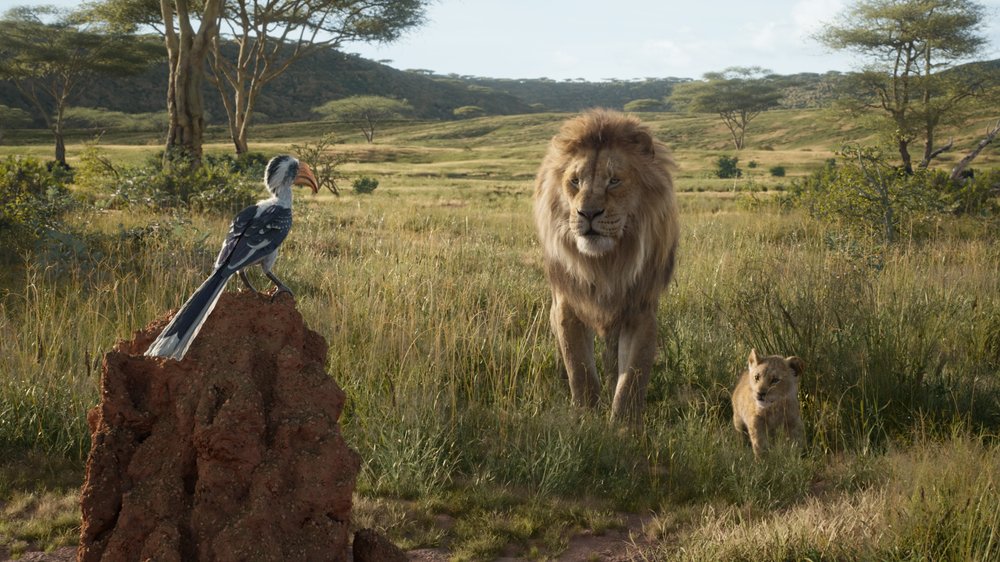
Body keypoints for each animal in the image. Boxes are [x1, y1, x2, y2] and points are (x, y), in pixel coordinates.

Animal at [533, 109, 679, 422]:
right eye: (575, 181)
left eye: (614, 181)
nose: (587, 213)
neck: (606, 264)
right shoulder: (567, 305)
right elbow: (580, 369)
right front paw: (586, 419)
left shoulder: (641, 310)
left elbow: (632, 377)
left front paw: (624, 426)